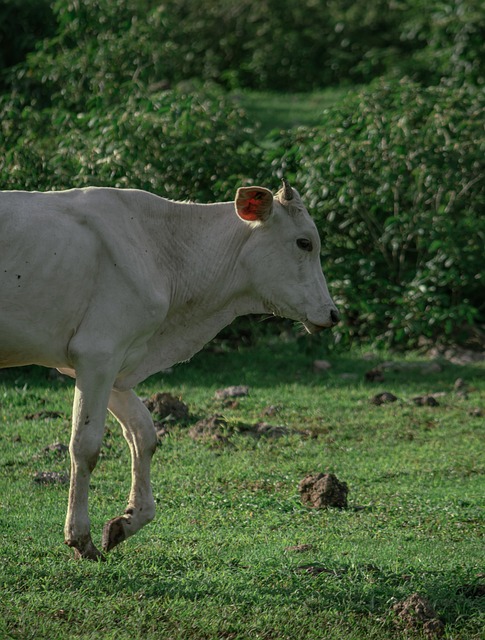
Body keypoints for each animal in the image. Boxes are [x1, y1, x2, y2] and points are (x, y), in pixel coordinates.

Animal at [0, 180, 338, 560]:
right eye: (304, 242)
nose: (334, 313)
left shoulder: (108, 361)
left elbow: (144, 435)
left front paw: (128, 520)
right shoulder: (98, 352)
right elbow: (85, 447)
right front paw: (80, 538)